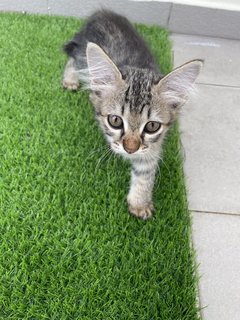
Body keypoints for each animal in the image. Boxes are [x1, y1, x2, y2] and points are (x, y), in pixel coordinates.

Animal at [62, 9, 202, 220]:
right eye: (115, 121)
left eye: (152, 126)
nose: (130, 149)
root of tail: (101, 13)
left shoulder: (153, 146)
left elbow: (145, 173)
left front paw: (139, 202)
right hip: (82, 53)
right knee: (73, 57)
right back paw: (70, 79)